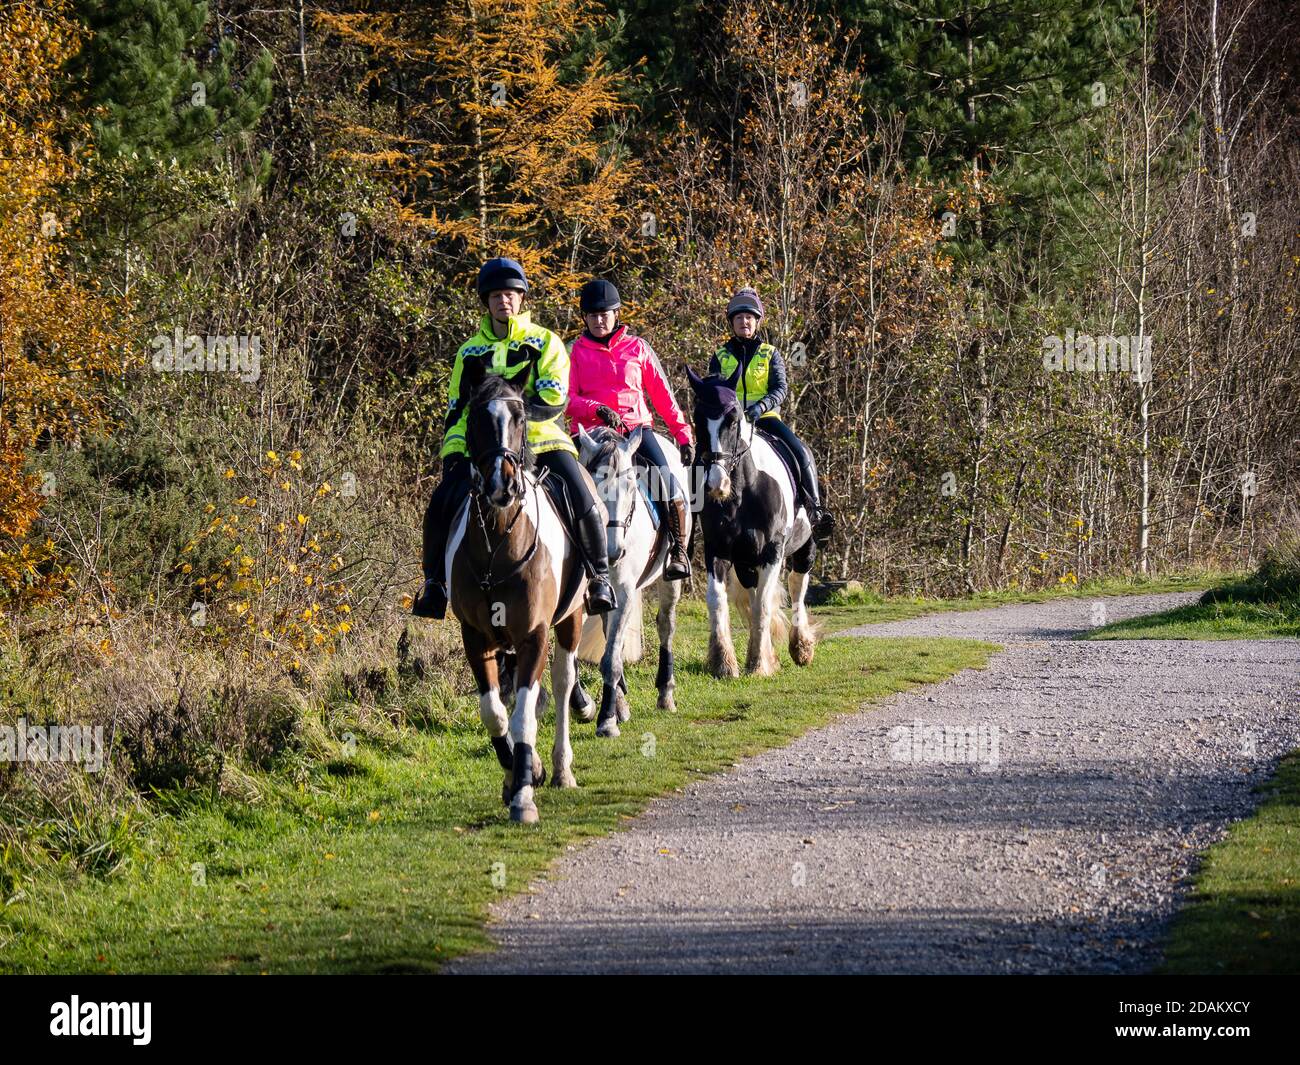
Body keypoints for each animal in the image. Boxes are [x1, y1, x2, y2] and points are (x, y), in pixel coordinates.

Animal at [691, 366, 811, 676]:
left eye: (733, 419)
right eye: (697, 419)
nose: (716, 484)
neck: (744, 489)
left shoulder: (772, 551)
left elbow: (763, 606)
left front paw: (758, 665)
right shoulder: (717, 549)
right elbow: (717, 600)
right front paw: (724, 663)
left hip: (806, 544)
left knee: (797, 583)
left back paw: (801, 647)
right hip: (745, 561)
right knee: (754, 591)